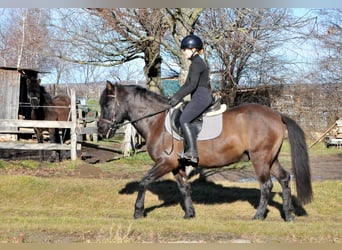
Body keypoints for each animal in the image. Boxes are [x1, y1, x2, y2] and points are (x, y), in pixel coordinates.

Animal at [97, 81, 312, 222]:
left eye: (106, 104)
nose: (101, 131)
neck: (157, 121)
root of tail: (277, 115)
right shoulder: (177, 165)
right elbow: (184, 188)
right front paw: (189, 214)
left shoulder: (165, 163)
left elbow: (144, 181)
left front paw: (138, 211)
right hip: (270, 159)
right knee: (284, 179)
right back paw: (288, 215)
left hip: (260, 159)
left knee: (266, 185)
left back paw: (258, 216)